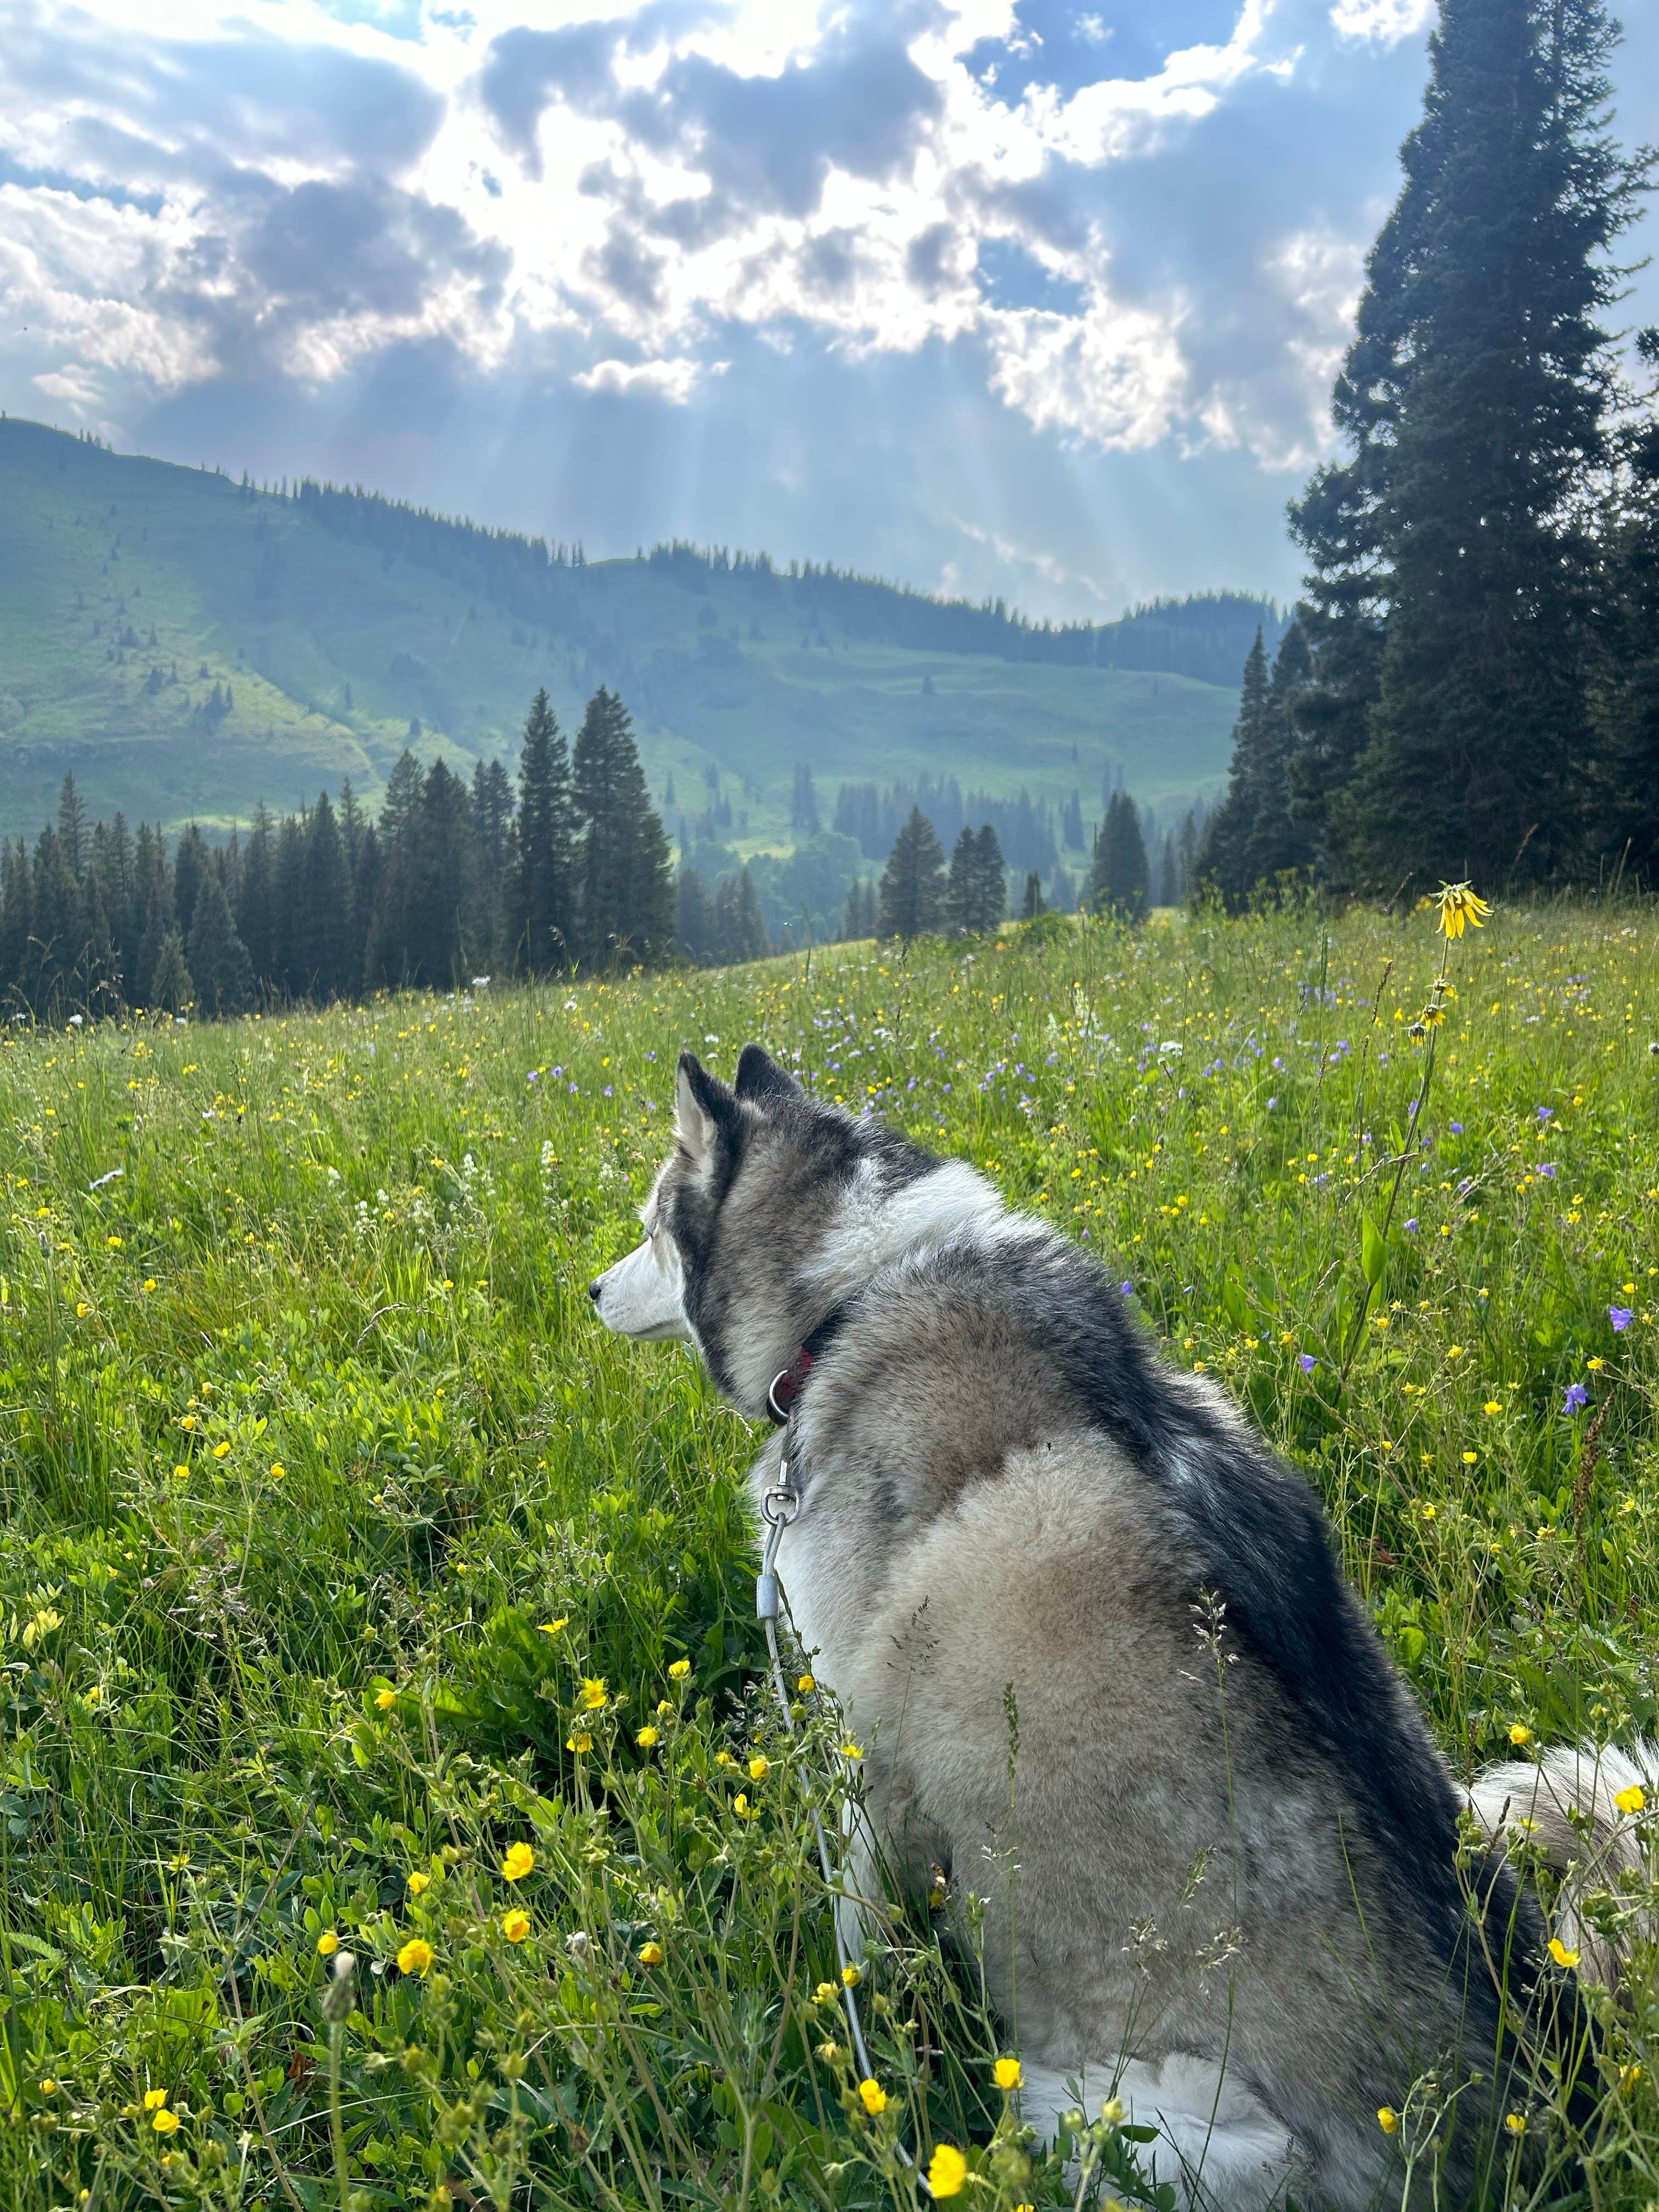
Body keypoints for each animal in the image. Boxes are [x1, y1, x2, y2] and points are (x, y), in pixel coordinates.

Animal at [592, 1044, 1645, 2203]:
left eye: (650, 1224)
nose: (589, 1289)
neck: (852, 1295)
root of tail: (1552, 2126)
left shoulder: (861, 1741)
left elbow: (852, 1926)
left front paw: (848, 2028)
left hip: (1120, 2111)